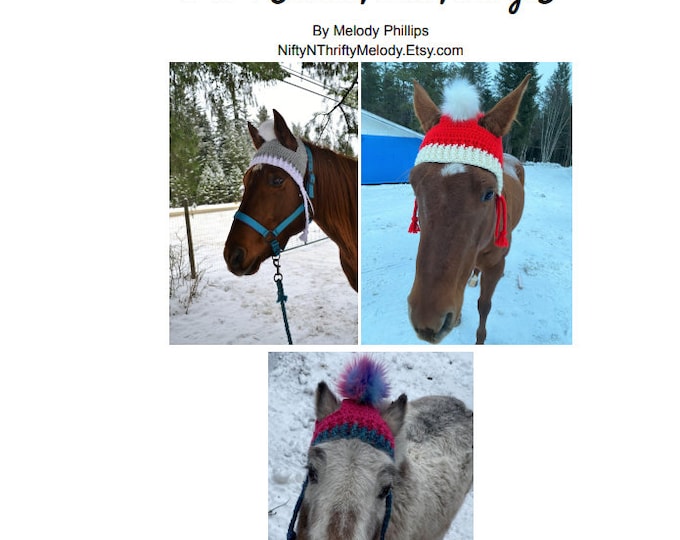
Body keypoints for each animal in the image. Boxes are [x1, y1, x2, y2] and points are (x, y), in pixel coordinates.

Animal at [407, 74, 532, 344]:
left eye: (489, 193)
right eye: (413, 183)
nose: (428, 321)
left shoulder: (496, 266)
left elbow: (484, 305)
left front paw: (480, 340)